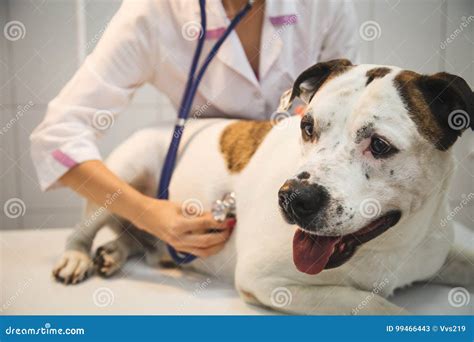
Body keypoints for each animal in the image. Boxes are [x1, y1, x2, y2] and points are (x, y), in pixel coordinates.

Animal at [52, 60, 474, 314]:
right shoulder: (266, 280)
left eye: (381, 145)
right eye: (308, 127)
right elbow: (374, 304)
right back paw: (77, 257)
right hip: (125, 171)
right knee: (86, 226)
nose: (293, 198)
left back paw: (113, 252)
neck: (391, 244)